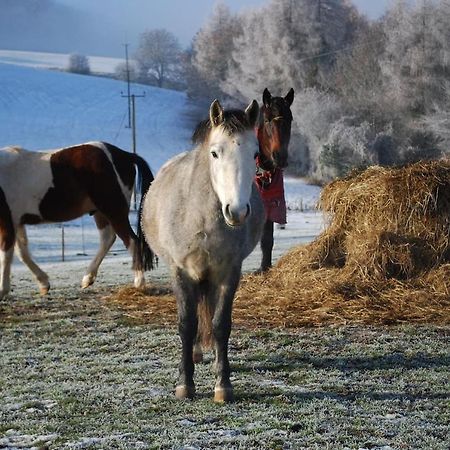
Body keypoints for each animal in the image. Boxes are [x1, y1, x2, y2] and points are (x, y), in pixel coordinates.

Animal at [0, 142, 154, 298]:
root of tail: (125, 155)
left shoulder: (7, 223)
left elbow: (5, 254)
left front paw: (2, 290)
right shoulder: (16, 223)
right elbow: (22, 253)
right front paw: (43, 283)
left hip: (114, 211)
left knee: (132, 241)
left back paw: (139, 283)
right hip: (101, 212)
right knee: (108, 239)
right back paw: (88, 278)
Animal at [141, 97, 264, 400]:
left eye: (255, 154)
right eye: (215, 153)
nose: (237, 211)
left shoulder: (229, 272)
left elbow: (221, 325)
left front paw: (223, 385)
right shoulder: (181, 271)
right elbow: (187, 324)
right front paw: (185, 384)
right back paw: (195, 355)